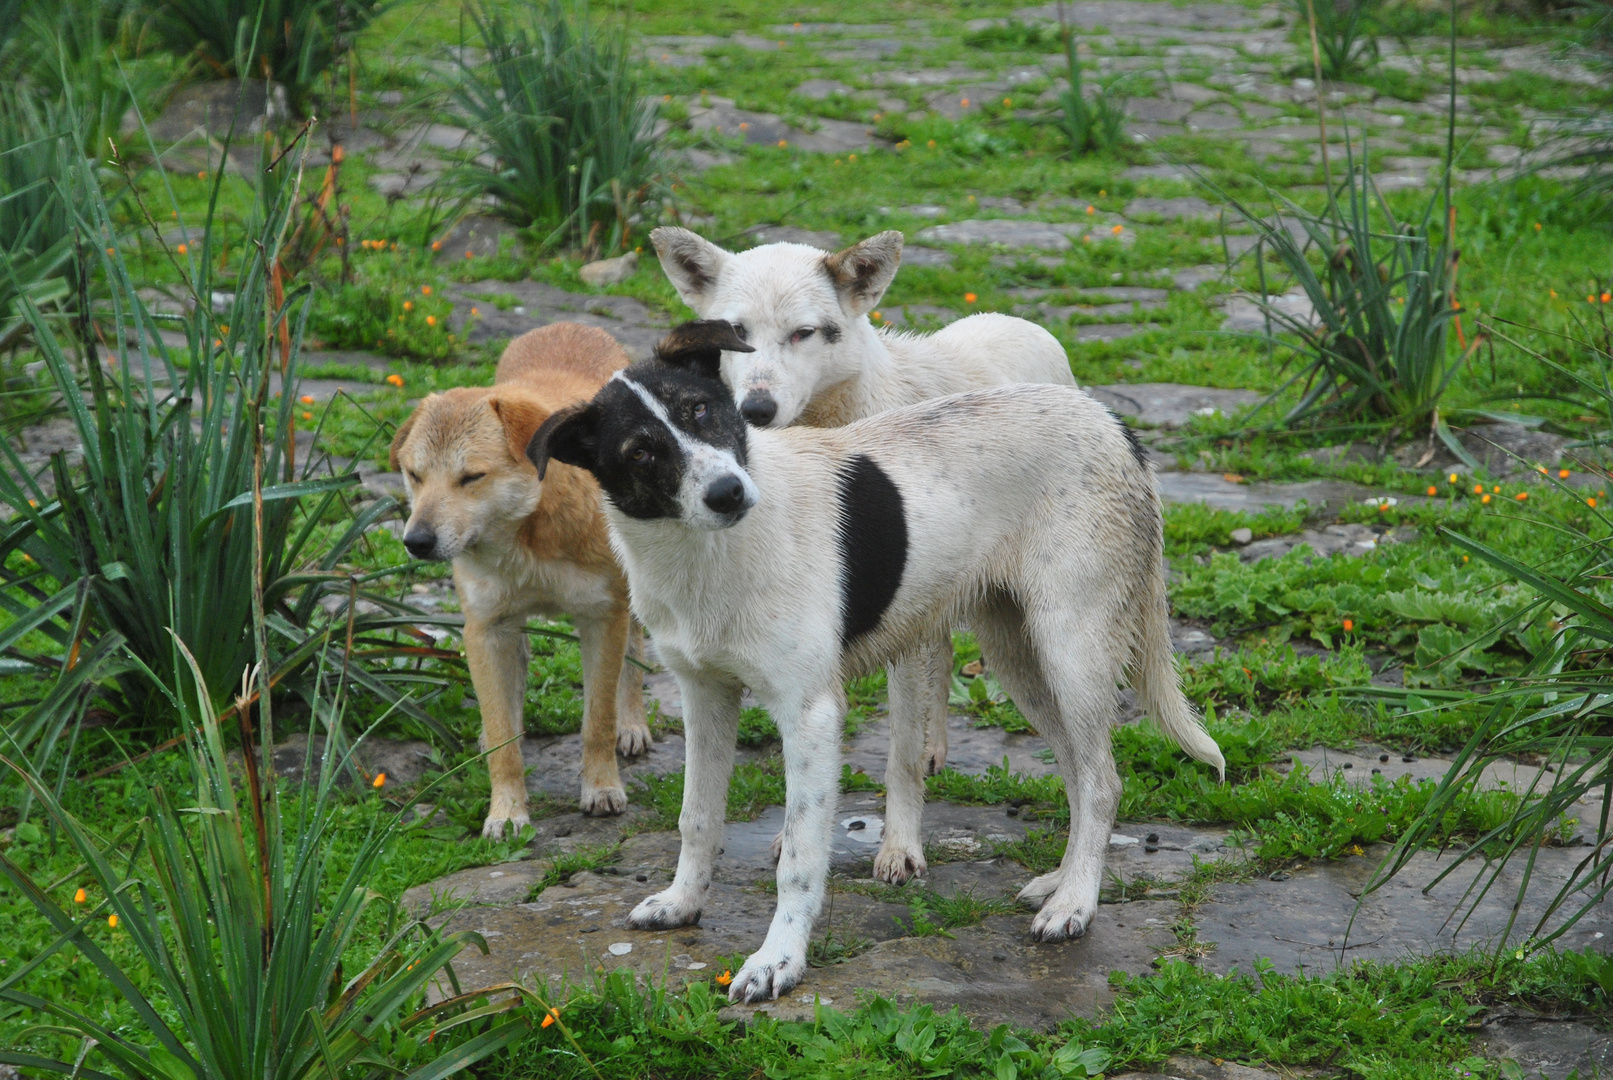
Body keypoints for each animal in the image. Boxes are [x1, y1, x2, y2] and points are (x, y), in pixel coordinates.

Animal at [390, 322, 648, 838]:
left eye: (471, 477)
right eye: (415, 475)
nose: (417, 541)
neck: (527, 540)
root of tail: (572, 325)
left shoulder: (602, 619)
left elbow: (598, 720)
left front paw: (601, 788)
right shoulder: (485, 630)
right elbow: (503, 739)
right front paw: (507, 811)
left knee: (636, 656)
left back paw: (633, 725)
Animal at [529, 322, 1219, 1005]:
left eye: (701, 410)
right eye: (639, 452)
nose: (728, 492)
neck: (708, 553)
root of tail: (1113, 424)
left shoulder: (809, 713)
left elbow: (800, 856)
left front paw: (779, 960)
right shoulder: (704, 697)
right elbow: (696, 817)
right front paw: (682, 903)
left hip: (1071, 647)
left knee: (1102, 781)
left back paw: (1076, 902)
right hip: (1020, 655)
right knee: (1081, 773)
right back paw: (1062, 880)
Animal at [648, 230, 1077, 876]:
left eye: (803, 333)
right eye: (736, 332)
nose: (755, 410)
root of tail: (1017, 321)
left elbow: (896, 752)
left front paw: (899, 847)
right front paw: (792, 840)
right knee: (941, 654)